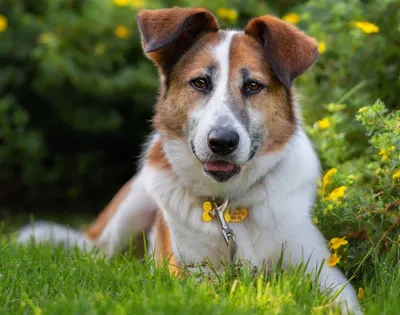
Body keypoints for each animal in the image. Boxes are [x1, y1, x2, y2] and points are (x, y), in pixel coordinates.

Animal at [18, 7, 362, 315]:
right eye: (200, 83)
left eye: (253, 86)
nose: (222, 142)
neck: (229, 205)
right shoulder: (190, 276)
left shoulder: (323, 270)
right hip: (130, 209)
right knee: (98, 258)